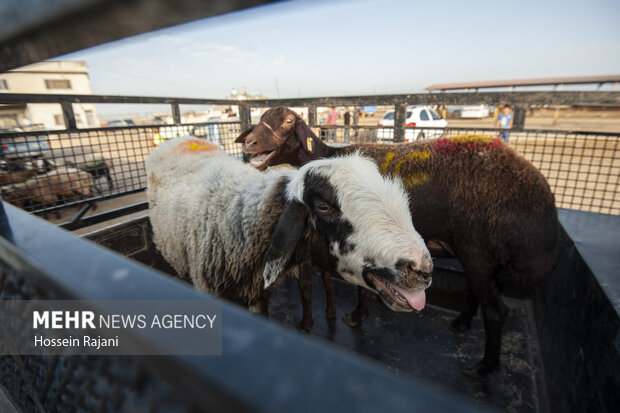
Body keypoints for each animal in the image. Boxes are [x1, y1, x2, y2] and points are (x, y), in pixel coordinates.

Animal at [234, 105, 560, 376]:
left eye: (289, 121)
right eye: (261, 118)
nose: (250, 145)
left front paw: (356, 316)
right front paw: (364, 310)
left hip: (477, 249)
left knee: (495, 310)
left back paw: (483, 367)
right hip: (478, 254)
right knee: (475, 293)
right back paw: (461, 323)